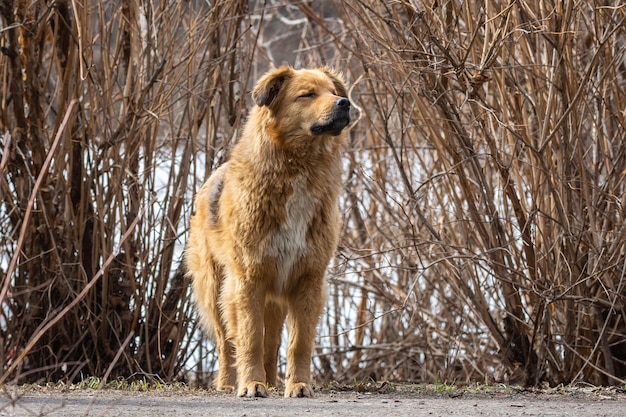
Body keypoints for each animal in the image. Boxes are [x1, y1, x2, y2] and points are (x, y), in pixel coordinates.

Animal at [185, 66, 352, 396]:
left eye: (333, 91)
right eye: (307, 94)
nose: (345, 103)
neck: (299, 168)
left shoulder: (307, 279)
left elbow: (298, 343)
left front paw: (298, 385)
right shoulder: (249, 279)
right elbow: (249, 338)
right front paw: (250, 384)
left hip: (273, 297)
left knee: (272, 341)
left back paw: (272, 382)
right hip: (216, 287)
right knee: (226, 342)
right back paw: (229, 383)